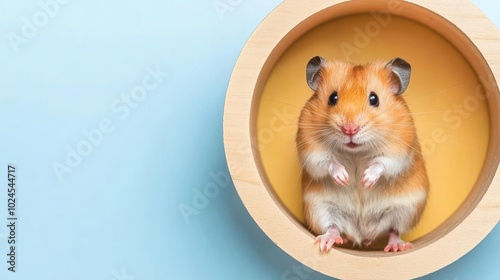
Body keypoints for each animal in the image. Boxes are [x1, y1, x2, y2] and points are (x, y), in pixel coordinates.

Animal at [296, 55, 430, 253]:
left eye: (374, 99)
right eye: (332, 98)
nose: (350, 129)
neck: (356, 151)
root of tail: (362, 233)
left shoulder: (400, 148)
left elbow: (382, 163)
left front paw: (365, 181)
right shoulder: (309, 146)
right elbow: (326, 161)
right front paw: (344, 179)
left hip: (406, 211)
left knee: (394, 230)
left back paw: (397, 246)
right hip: (319, 209)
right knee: (332, 227)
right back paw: (327, 242)